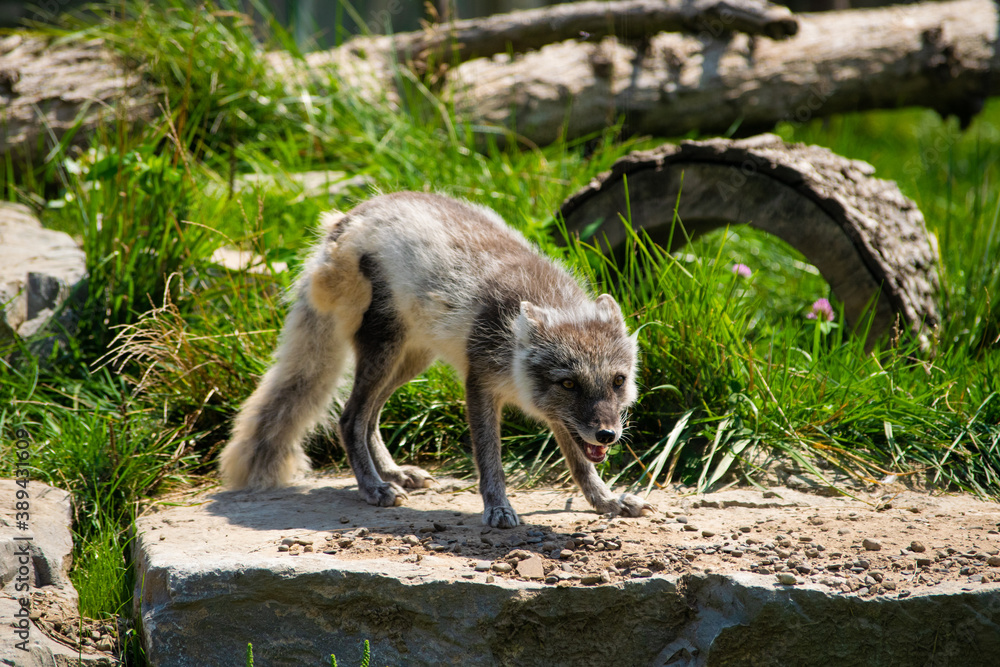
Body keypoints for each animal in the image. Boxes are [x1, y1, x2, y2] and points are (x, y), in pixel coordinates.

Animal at [219, 191, 652, 528]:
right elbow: (490, 460)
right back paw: (374, 487)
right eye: (568, 383)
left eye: (618, 380)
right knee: (349, 418)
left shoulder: (558, 416)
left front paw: (606, 501)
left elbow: (581, 465)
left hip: (411, 361)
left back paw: (394, 473)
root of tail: (344, 221)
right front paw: (497, 509)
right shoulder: (479, 384)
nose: (607, 435)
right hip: (385, 351)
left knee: (369, 418)